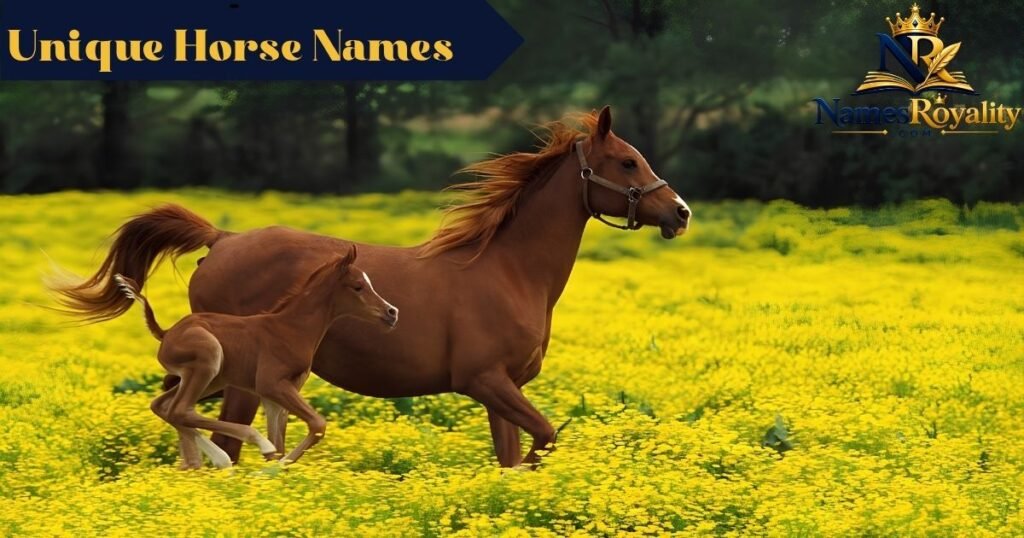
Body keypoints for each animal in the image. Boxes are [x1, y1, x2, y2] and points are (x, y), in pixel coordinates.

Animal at [112, 245, 398, 469]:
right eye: (358, 286)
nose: (391, 312)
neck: (291, 329)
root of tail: (166, 333)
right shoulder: (270, 384)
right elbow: (316, 425)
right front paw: (273, 467)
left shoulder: (277, 393)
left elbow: (282, 441)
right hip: (209, 359)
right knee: (180, 409)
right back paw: (239, 450)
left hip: (212, 378)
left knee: (165, 407)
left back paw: (202, 462)